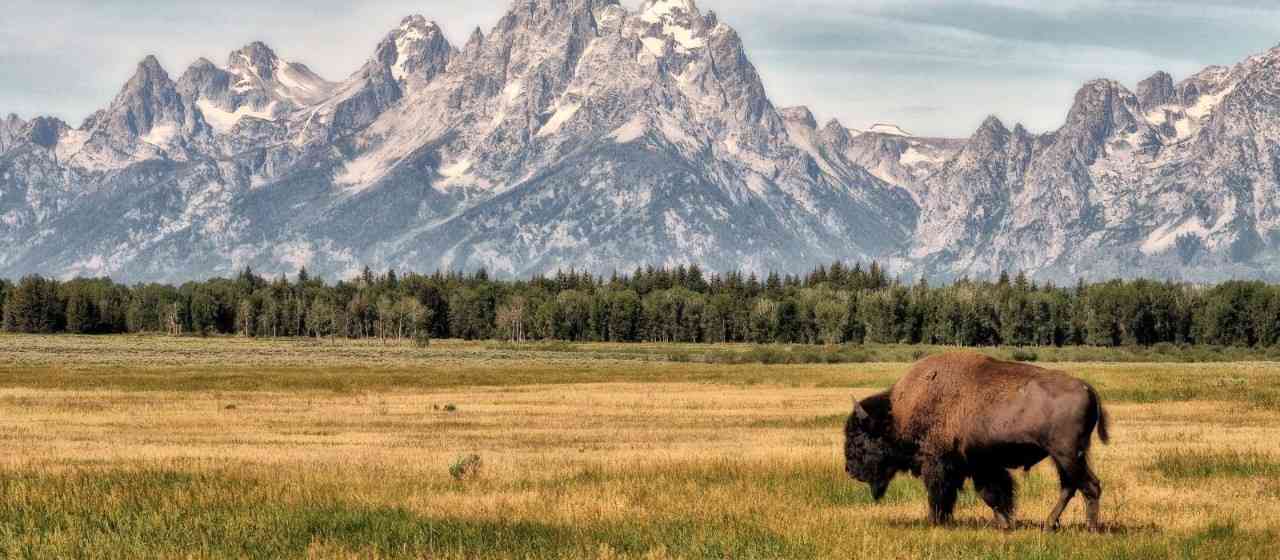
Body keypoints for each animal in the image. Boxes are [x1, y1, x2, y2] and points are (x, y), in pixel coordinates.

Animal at [844, 352, 1105, 531]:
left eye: (858, 439)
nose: (850, 470)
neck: (897, 415)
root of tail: (1087, 387)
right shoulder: (982, 464)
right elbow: (993, 494)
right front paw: (1005, 524)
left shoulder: (940, 464)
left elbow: (941, 494)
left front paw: (936, 521)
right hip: (1063, 457)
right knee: (1070, 486)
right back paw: (1051, 524)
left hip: (1067, 454)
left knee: (1089, 485)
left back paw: (1090, 528)